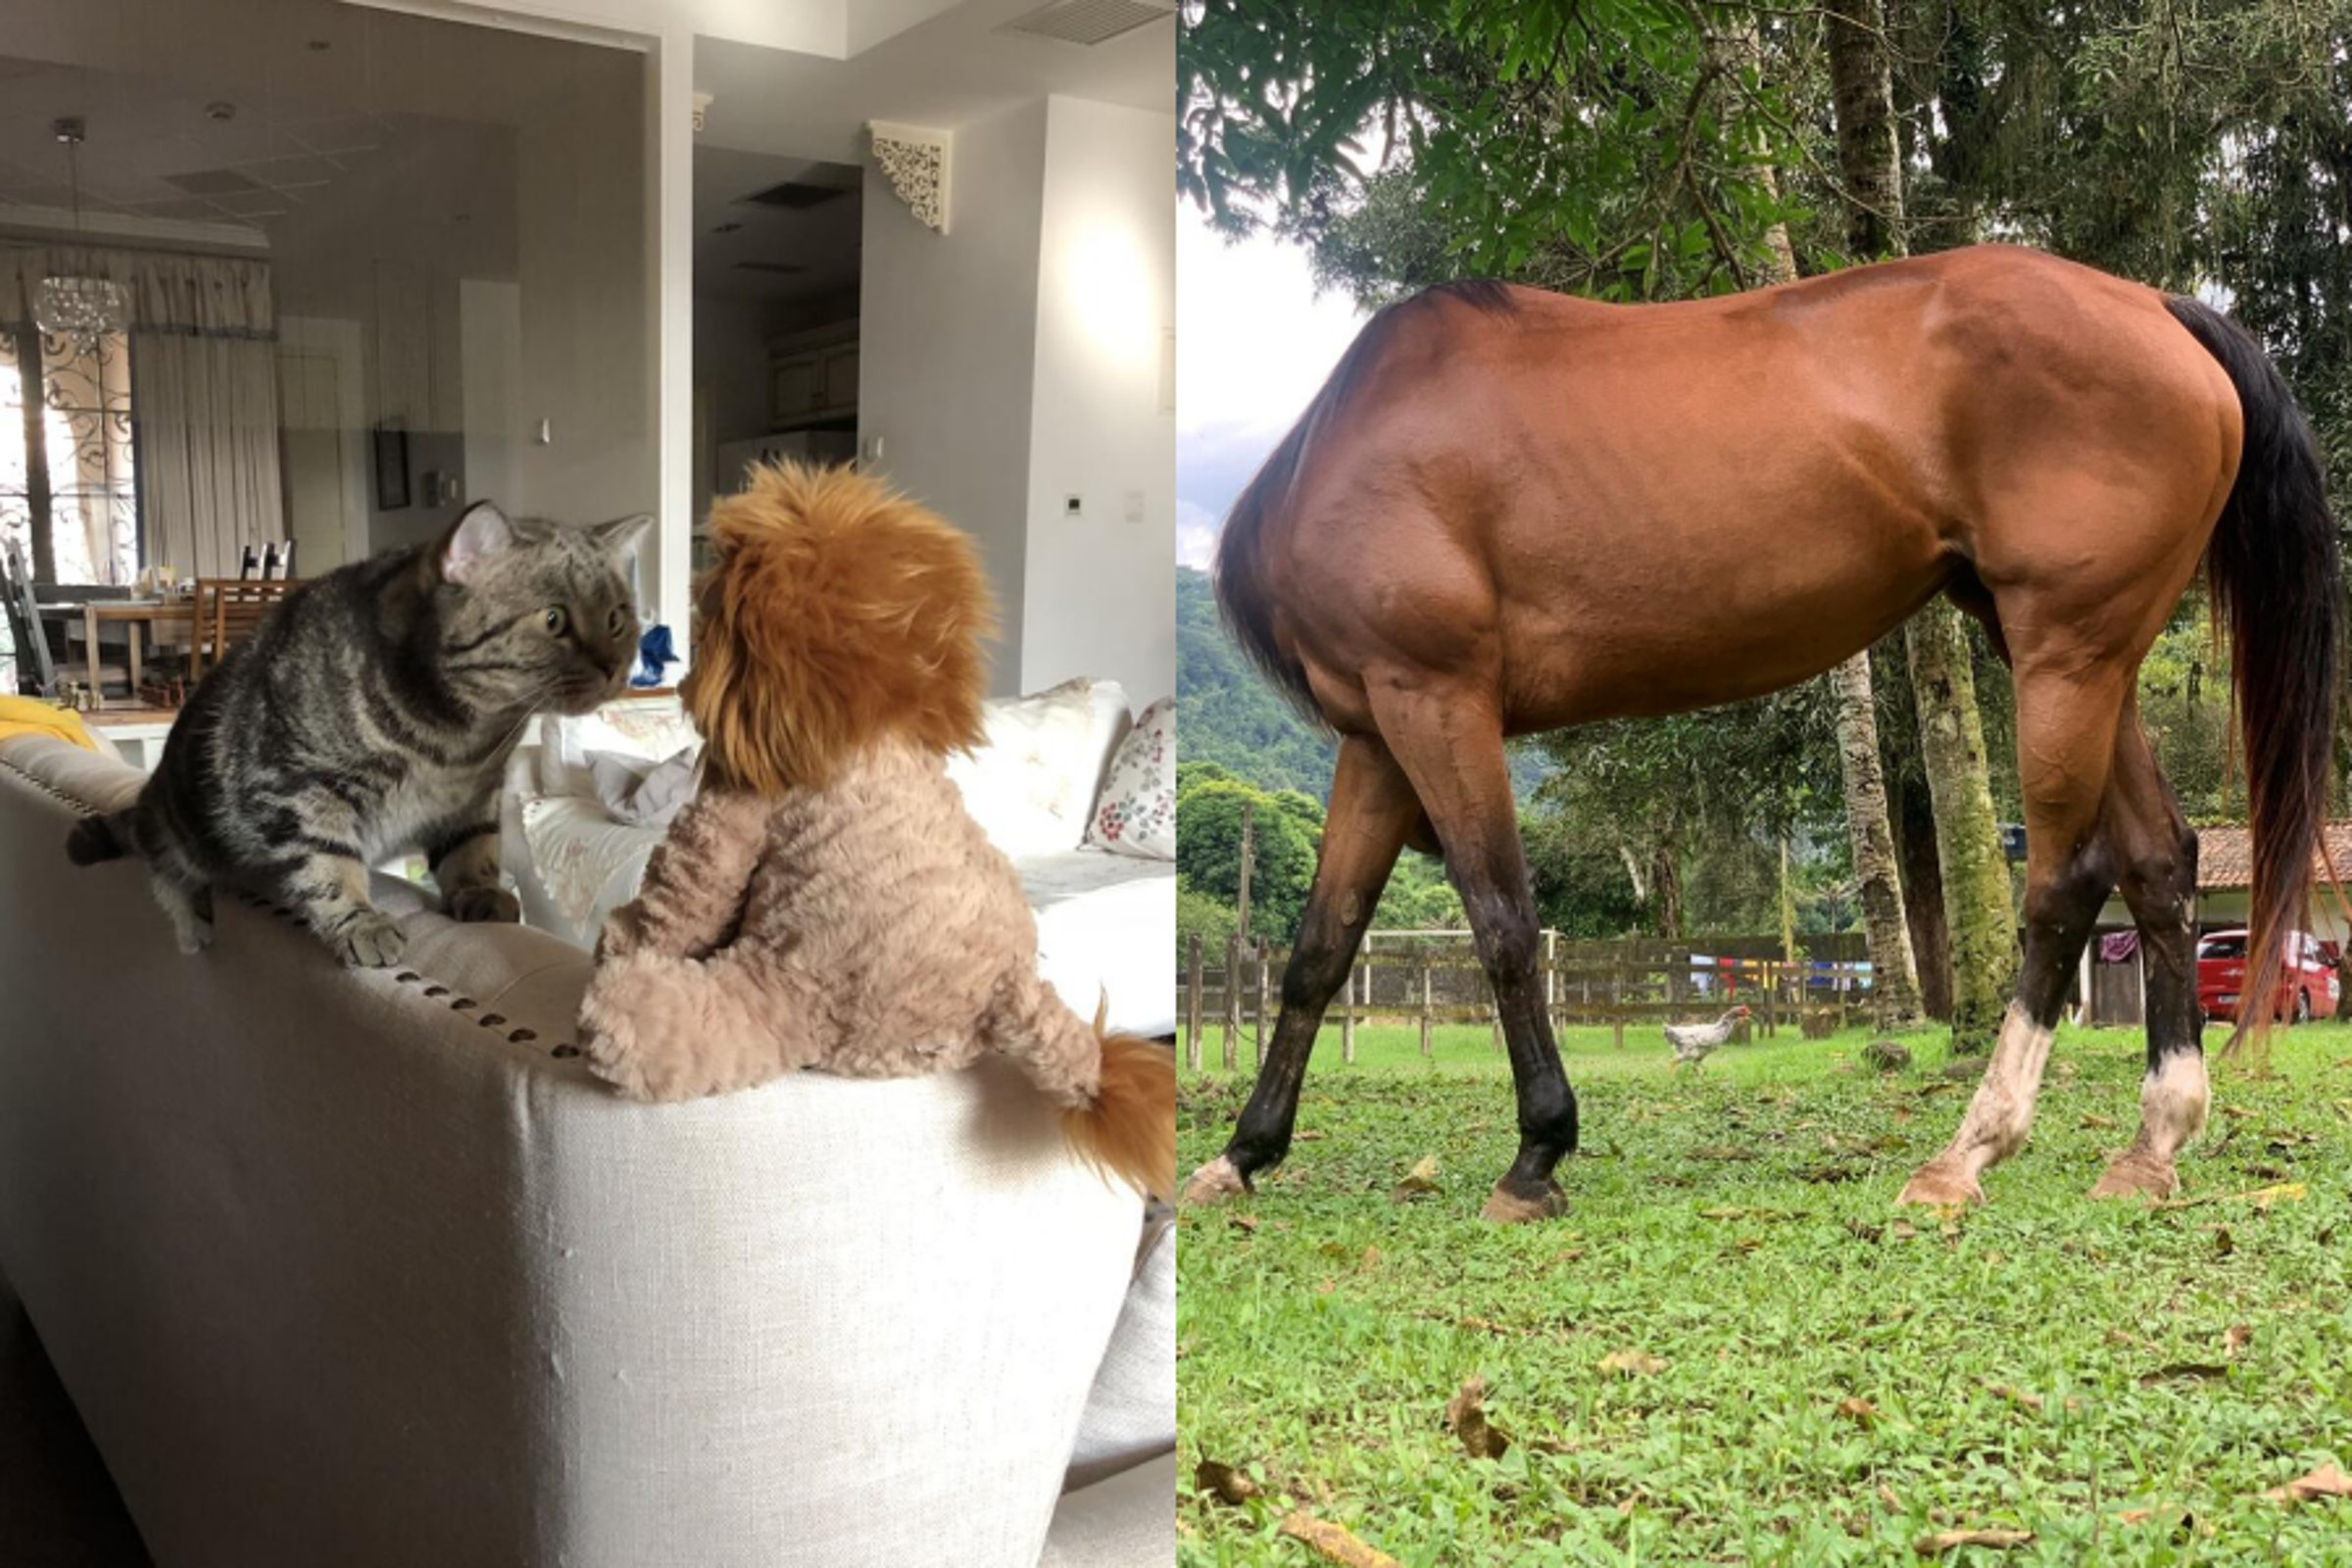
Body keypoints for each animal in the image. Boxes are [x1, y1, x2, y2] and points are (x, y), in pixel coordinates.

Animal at [1186, 244, 2342, 1222]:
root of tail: (2156, 307)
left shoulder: (1436, 700)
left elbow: (1504, 924)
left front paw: (1538, 1153)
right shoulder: (1378, 735)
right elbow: (1319, 949)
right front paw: (1242, 1154)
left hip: (2064, 655)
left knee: (2065, 881)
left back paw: (1969, 1150)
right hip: (2086, 658)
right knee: (2158, 861)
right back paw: (2154, 1140)